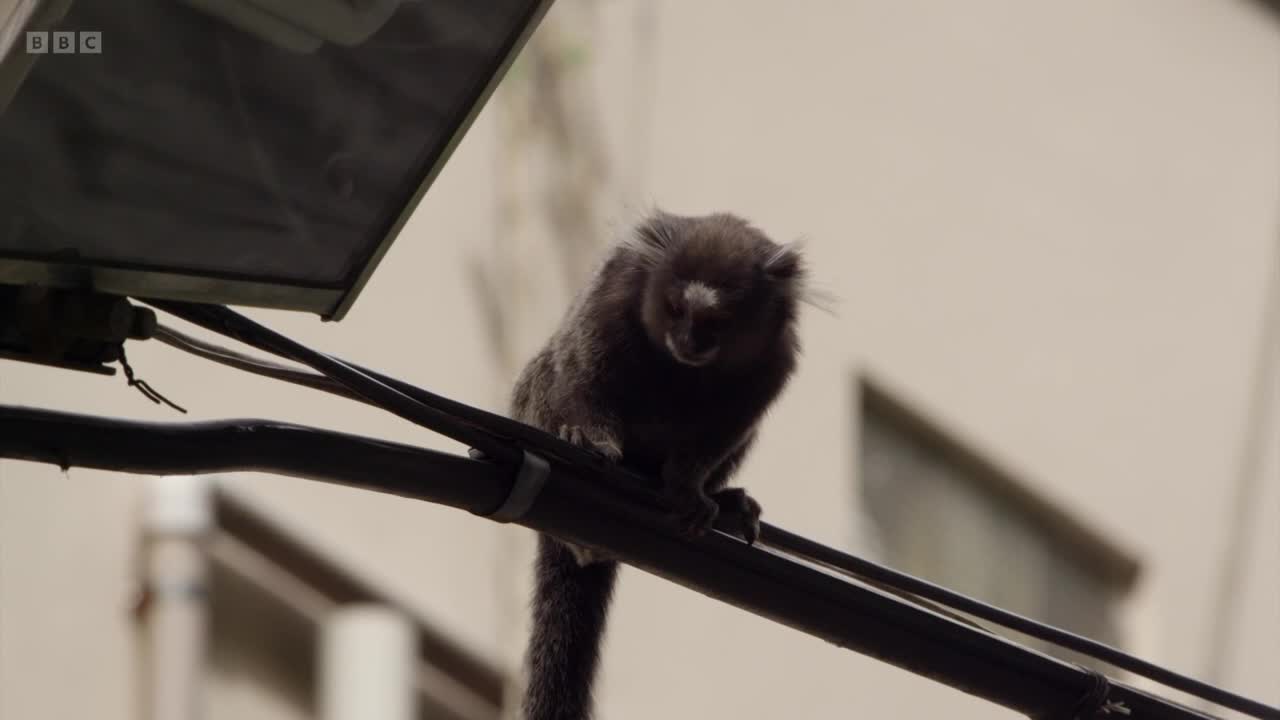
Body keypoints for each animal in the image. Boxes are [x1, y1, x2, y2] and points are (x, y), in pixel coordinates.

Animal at [509, 210, 812, 720]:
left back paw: (727, 502)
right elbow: (582, 372)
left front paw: (690, 490)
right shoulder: (611, 296)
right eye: (675, 309)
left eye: (716, 321)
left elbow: (724, 431)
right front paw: (588, 437)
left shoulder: (773, 359)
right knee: (549, 372)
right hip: (531, 405)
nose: (689, 341)